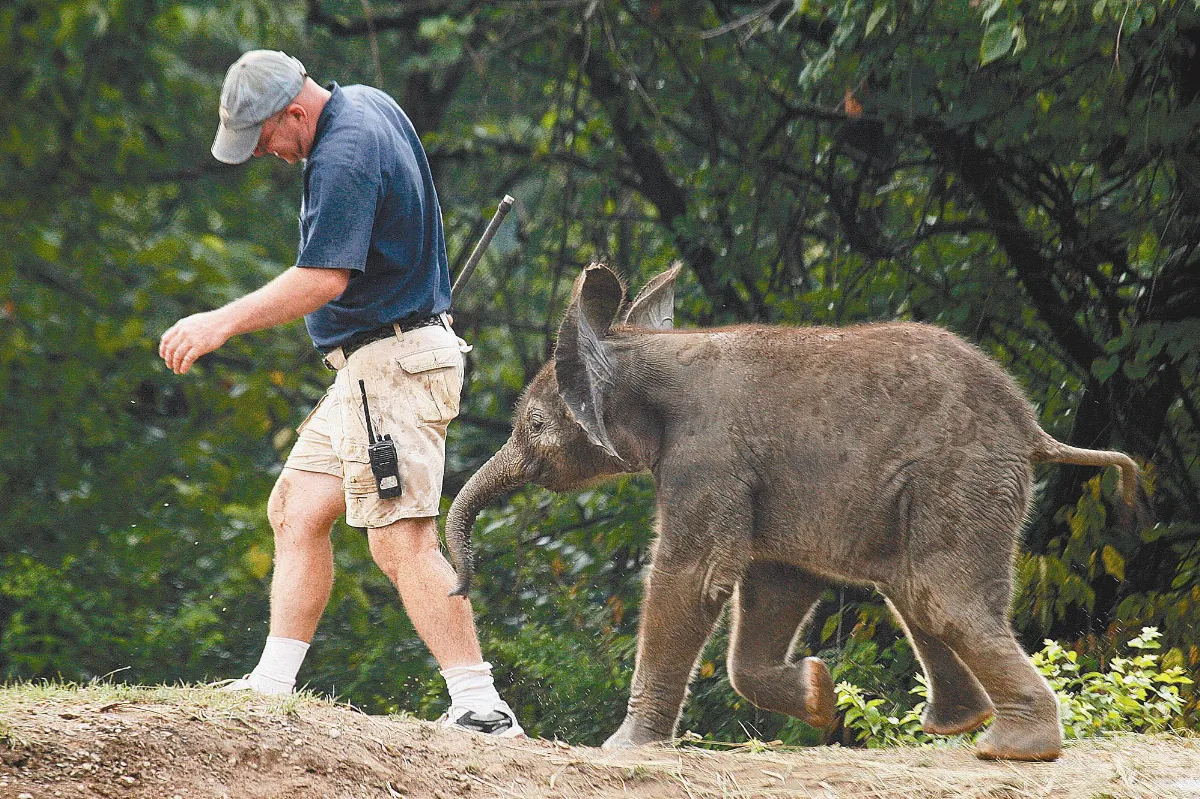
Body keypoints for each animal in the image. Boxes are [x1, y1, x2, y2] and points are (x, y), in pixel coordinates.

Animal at [445, 263, 1140, 761]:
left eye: (537, 425)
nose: (459, 585)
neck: (646, 348)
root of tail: (1034, 428)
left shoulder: (709, 454)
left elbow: (693, 577)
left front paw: (621, 749)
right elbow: (776, 582)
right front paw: (819, 696)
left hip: (960, 477)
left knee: (941, 598)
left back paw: (1011, 750)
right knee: (915, 596)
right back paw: (957, 727)